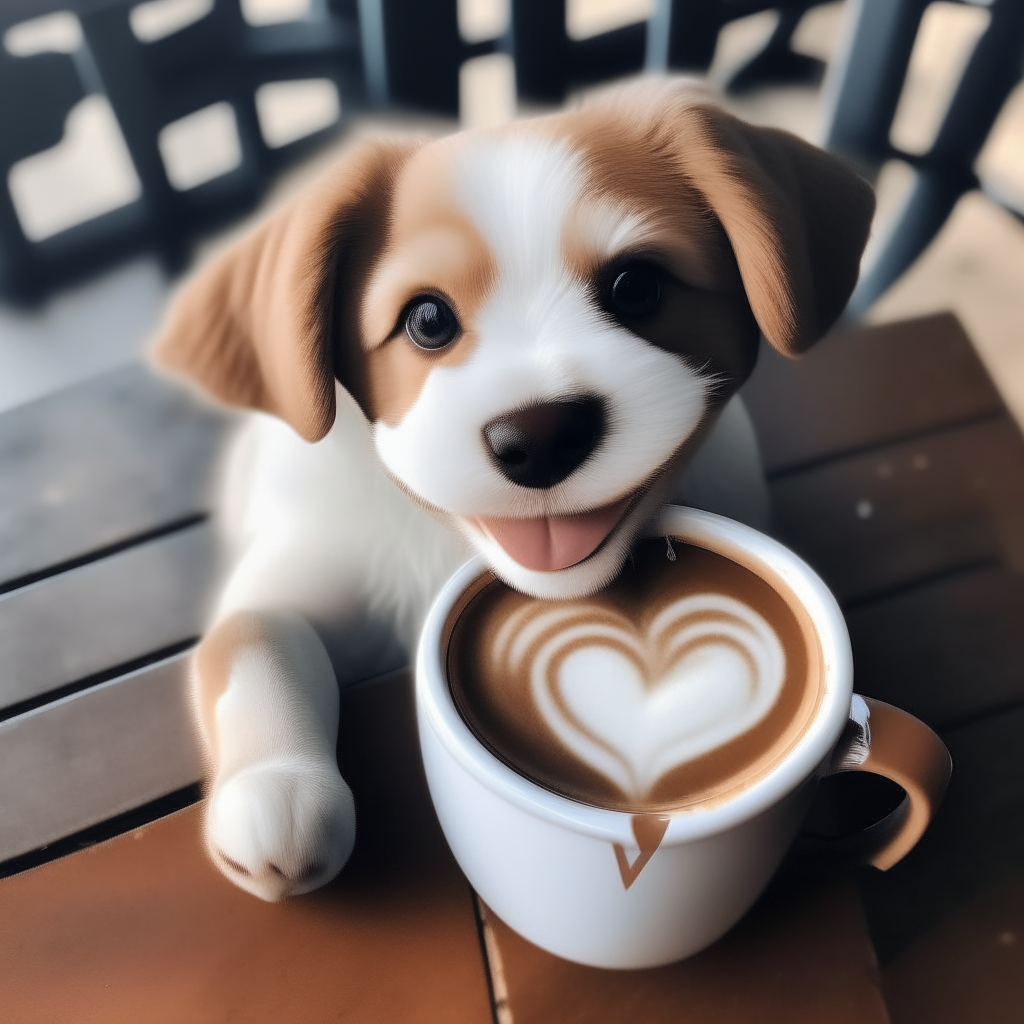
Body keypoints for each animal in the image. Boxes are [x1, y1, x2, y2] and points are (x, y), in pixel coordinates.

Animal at [151, 79, 872, 901]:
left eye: (637, 286)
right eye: (427, 319)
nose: (541, 435)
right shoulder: (290, 573)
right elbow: (253, 641)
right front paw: (276, 787)